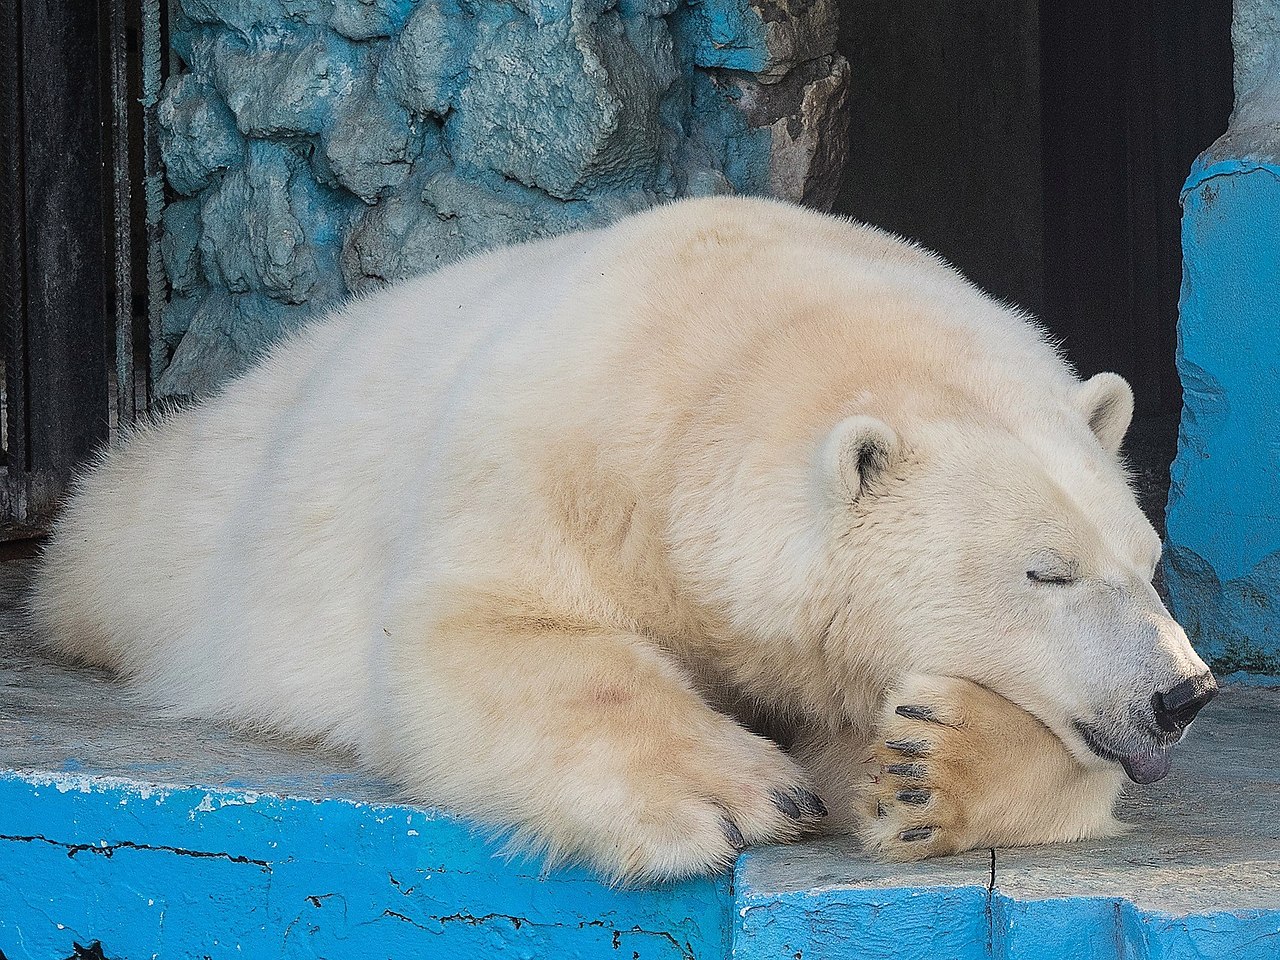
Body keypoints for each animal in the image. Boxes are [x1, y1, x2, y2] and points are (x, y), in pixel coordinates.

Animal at [27, 199, 1218, 885]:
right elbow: (484, 630)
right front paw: (740, 795)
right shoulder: (569, 459)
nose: (1182, 694)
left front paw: (926, 766)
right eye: (1046, 571)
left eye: (1146, 563)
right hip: (196, 518)